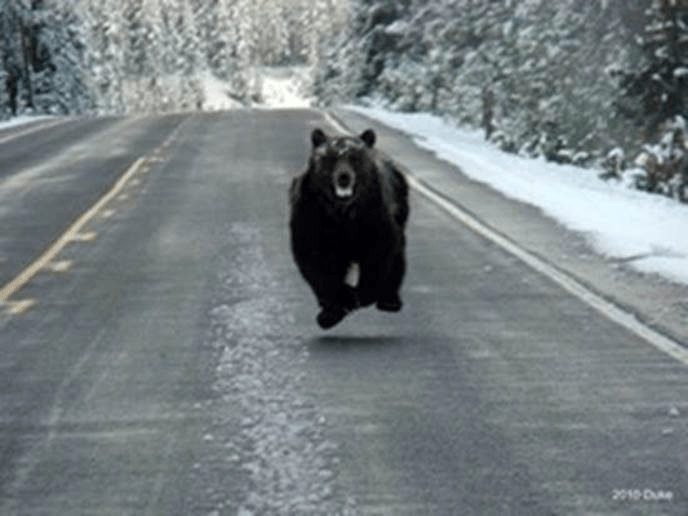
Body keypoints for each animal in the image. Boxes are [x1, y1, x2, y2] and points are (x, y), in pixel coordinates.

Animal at [289, 127, 409, 329]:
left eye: (354, 157)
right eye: (330, 158)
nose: (344, 177)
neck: (343, 212)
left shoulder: (373, 217)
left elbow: (379, 253)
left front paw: (362, 294)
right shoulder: (313, 217)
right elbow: (317, 261)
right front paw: (332, 310)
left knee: (397, 257)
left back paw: (390, 300)